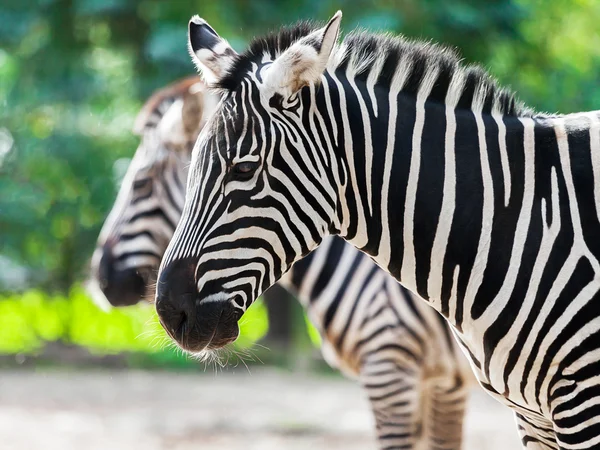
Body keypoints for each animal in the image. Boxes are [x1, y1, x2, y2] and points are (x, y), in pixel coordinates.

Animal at [155, 11, 600, 450]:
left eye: (244, 169)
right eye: (191, 167)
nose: (170, 312)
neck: (519, 223)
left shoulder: (579, 402)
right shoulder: (528, 415)